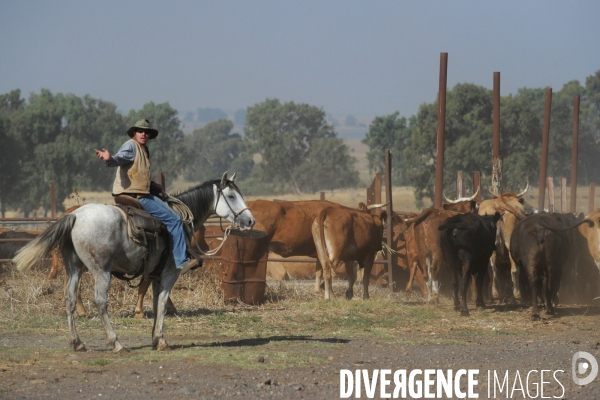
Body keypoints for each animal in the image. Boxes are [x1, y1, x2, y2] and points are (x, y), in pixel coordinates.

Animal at [14, 170, 253, 352]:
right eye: (231, 196)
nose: (250, 220)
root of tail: (75, 216)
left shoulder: (156, 274)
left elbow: (156, 303)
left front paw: (155, 337)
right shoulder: (170, 273)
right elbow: (162, 303)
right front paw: (161, 340)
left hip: (73, 267)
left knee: (70, 299)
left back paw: (77, 342)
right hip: (100, 270)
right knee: (100, 301)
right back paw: (116, 342)